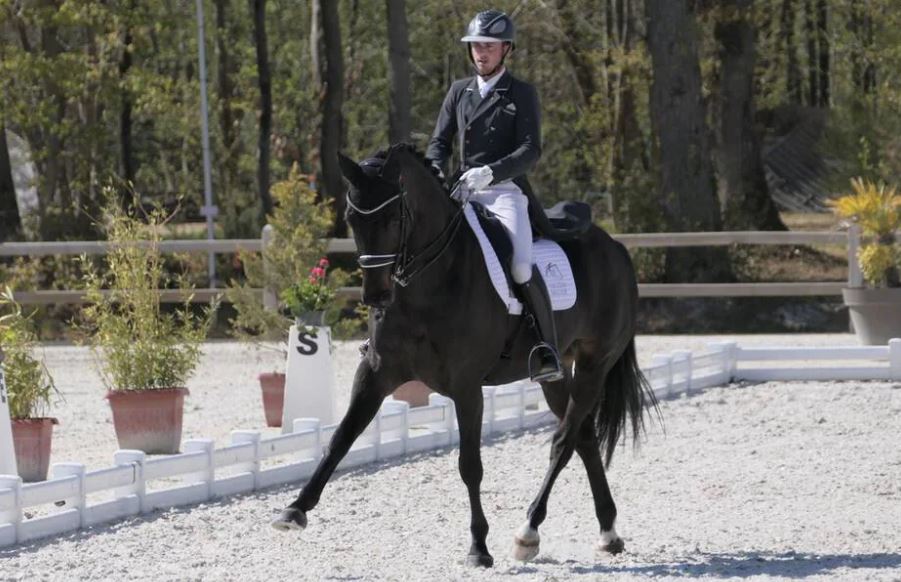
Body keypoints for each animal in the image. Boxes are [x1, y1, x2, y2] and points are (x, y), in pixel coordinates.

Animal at [270, 144, 656, 568]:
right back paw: (607, 532)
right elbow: (341, 437)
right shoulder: (376, 373)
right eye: (352, 218)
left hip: (593, 366)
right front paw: (294, 510)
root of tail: (616, 247)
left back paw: (528, 532)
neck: (426, 285)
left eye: (393, 215)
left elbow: (470, 465)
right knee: (584, 437)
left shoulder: (467, 387)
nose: (376, 295)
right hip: (555, 375)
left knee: (564, 441)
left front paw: (478, 547)